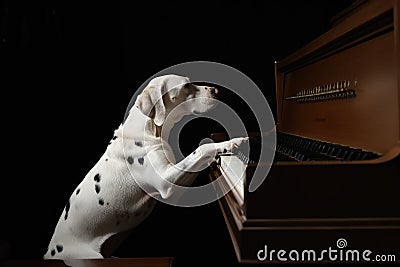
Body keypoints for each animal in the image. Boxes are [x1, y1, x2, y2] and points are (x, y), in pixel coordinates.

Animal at [43, 73, 247, 260]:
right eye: (186, 86)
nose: (216, 90)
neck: (151, 128)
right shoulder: (167, 182)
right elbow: (202, 148)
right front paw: (232, 142)